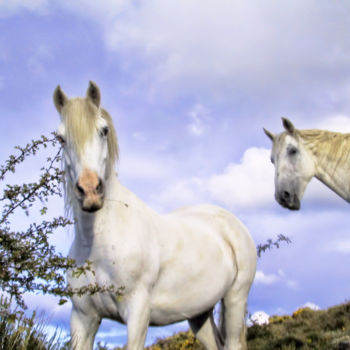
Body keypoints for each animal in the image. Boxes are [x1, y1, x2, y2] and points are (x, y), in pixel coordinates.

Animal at [54, 82, 258, 350]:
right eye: (60, 138)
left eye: (104, 130)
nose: (89, 191)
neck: (97, 246)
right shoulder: (82, 317)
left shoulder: (138, 313)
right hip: (199, 314)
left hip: (235, 299)